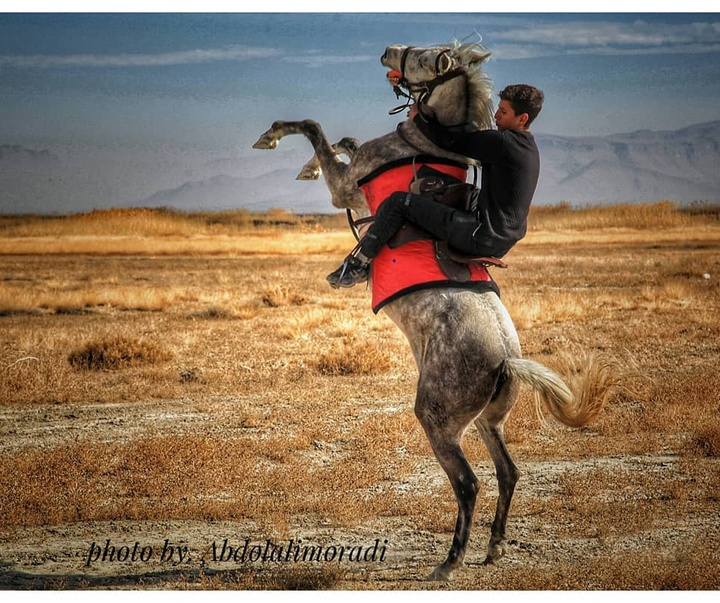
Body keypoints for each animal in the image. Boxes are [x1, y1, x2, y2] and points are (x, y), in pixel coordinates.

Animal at [253, 41, 612, 580]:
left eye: (423, 57)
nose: (387, 51)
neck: (424, 144)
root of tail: (507, 359)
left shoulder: (346, 187)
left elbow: (314, 130)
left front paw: (274, 140)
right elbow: (337, 138)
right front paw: (318, 154)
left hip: (438, 419)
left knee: (469, 483)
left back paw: (450, 562)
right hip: (488, 421)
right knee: (508, 472)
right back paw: (493, 548)